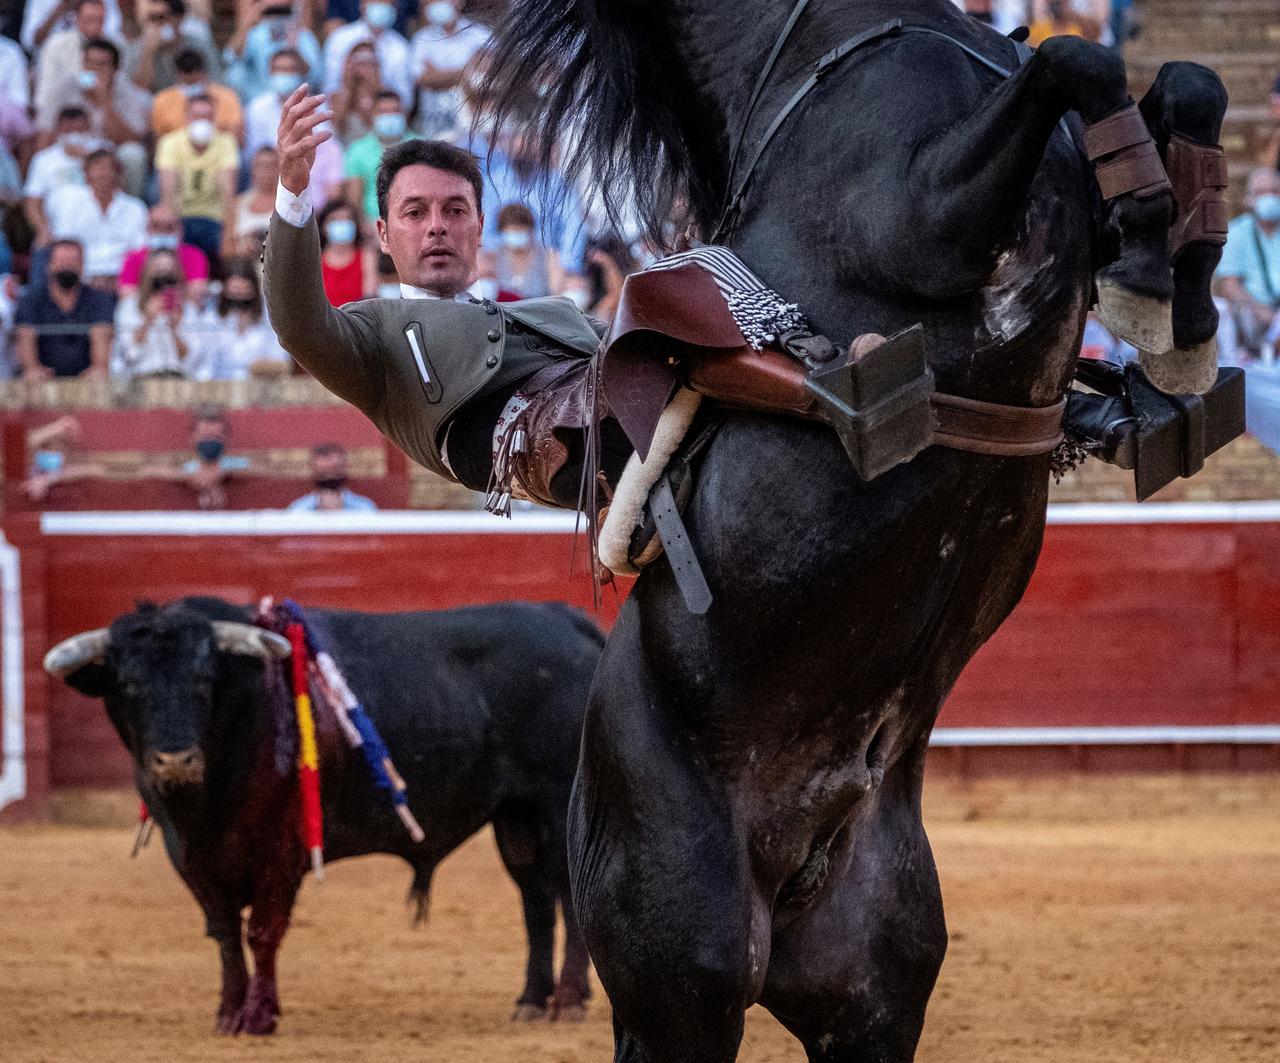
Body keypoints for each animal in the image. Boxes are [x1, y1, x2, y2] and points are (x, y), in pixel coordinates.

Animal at [40, 604, 599, 1034]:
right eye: (128, 685)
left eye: (203, 681)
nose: (176, 762)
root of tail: (564, 617)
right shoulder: (191, 856)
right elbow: (224, 933)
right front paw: (228, 1014)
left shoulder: (280, 850)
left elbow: (263, 930)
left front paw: (259, 1017)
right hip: (517, 817)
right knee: (535, 898)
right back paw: (531, 1001)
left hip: (557, 805)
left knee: (568, 895)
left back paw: (568, 1002)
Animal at [481, 2, 1228, 1063]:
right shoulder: (927, 218)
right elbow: (1076, 62)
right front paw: (1150, 283)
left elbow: (1186, 83)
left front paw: (1178, 305)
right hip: (685, 979)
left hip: (875, 992)